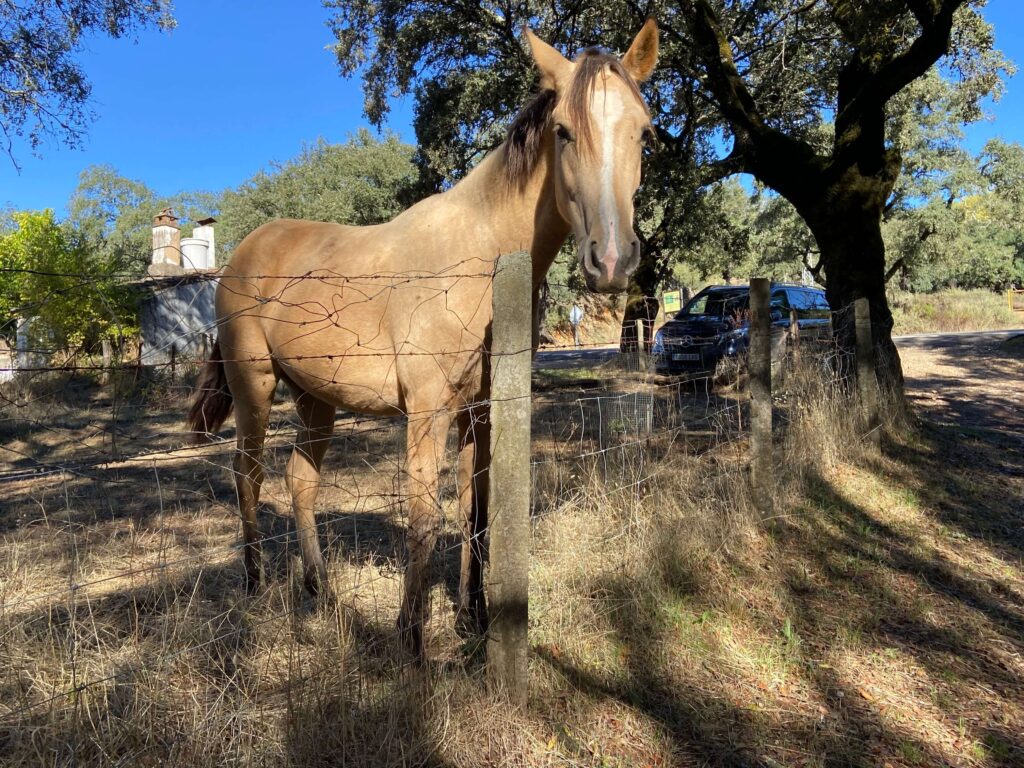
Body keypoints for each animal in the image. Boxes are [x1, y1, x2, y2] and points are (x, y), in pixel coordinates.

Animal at [187, 21, 659, 654]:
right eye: (563, 131)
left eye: (644, 132)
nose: (609, 261)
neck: (482, 256)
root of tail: (243, 253)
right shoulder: (427, 409)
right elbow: (424, 516)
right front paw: (411, 636)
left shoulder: (480, 409)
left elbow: (475, 511)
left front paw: (473, 618)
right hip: (255, 389)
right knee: (248, 475)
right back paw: (255, 583)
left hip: (315, 398)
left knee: (300, 480)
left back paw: (318, 589)